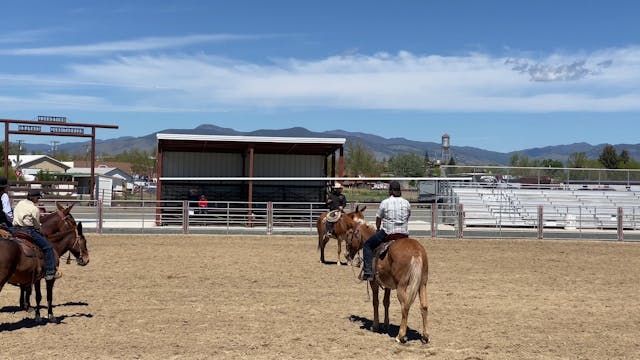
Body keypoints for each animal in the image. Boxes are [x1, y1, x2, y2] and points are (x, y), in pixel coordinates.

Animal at [340, 208, 430, 344]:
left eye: (349, 233)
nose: (346, 255)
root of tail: (416, 251)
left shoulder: (374, 282)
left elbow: (375, 302)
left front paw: (375, 326)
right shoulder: (388, 285)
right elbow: (386, 302)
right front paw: (386, 324)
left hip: (402, 286)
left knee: (405, 306)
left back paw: (400, 336)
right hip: (422, 284)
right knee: (424, 306)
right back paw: (425, 336)